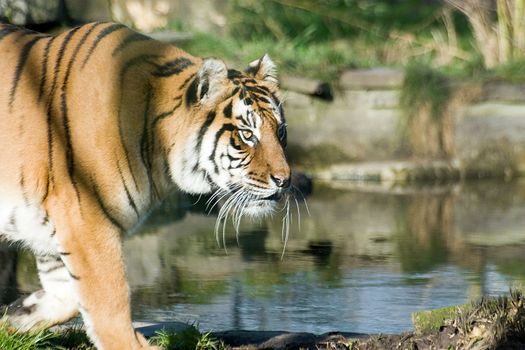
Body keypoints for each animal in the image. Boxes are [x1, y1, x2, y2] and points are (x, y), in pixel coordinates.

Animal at [0, 22, 288, 350]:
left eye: (280, 131)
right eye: (247, 134)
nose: (285, 180)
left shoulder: (52, 230)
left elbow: (67, 297)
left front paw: (14, 317)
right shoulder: (87, 221)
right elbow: (109, 303)